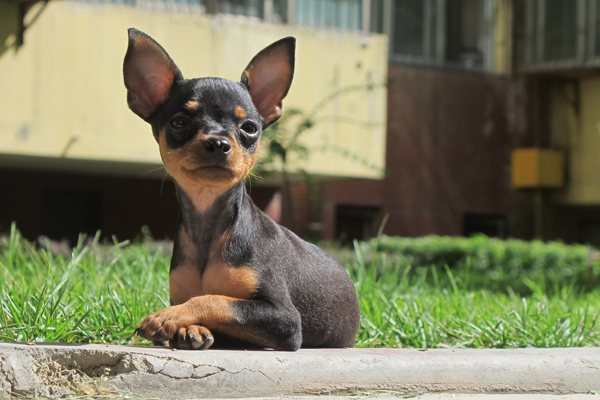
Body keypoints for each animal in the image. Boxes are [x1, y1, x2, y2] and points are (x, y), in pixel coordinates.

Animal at [120, 28, 358, 350]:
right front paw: (189, 328)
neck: (210, 226)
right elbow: (204, 302)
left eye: (249, 128)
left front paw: (167, 317)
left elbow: (216, 300)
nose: (218, 142)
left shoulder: (285, 319)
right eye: (179, 122)